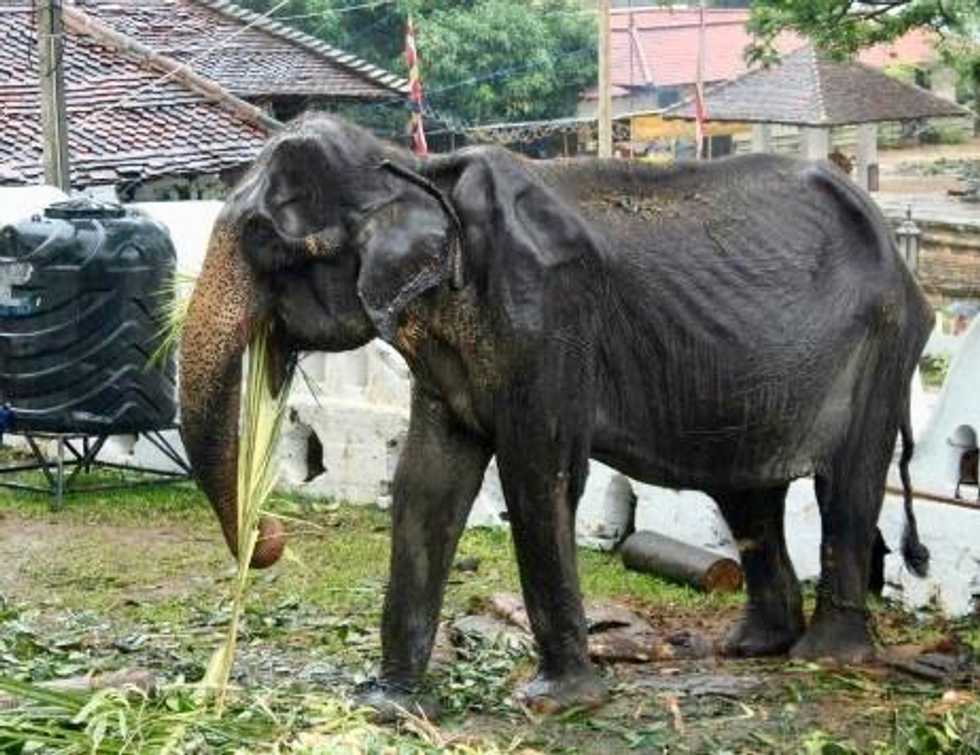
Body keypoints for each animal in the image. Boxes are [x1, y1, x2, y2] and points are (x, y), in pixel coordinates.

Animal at [179, 114, 933, 718]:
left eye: (264, 242)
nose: (271, 535)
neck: (417, 173)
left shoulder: (547, 317)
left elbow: (539, 478)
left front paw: (556, 701)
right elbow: (426, 484)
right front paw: (386, 703)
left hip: (884, 346)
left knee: (845, 488)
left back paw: (825, 657)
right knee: (748, 495)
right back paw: (753, 647)